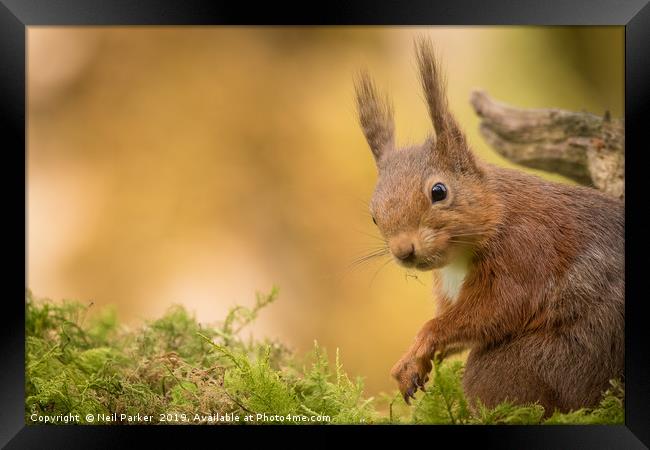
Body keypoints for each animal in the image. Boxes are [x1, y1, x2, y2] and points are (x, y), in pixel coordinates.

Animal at [354, 40, 624, 414]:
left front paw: (425, 339)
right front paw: (411, 362)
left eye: (439, 191)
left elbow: (496, 308)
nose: (403, 251)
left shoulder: (525, 251)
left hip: (566, 355)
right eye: (374, 215)